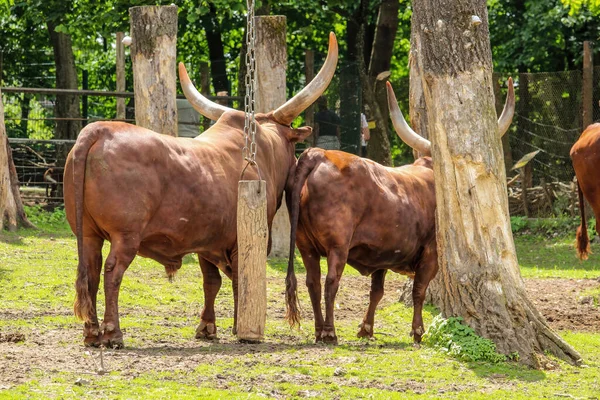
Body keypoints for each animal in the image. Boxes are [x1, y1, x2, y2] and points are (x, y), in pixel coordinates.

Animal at [65, 33, 338, 346]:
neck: (263, 149)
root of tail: (97, 130)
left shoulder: (206, 241)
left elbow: (212, 282)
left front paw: (208, 326)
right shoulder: (240, 240)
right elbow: (239, 280)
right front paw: (240, 327)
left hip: (88, 234)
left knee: (90, 272)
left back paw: (91, 331)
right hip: (125, 235)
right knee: (112, 273)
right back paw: (113, 332)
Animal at [286, 78, 516, 344]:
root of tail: (319, 154)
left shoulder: (381, 254)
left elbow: (377, 291)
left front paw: (366, 328)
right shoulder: (430, 253)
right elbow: (419, 291)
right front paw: (417, 330)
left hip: (305, 245)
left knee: (312, 282)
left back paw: (318, 329)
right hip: (337, 246)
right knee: (330, 283)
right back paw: (329, 331)